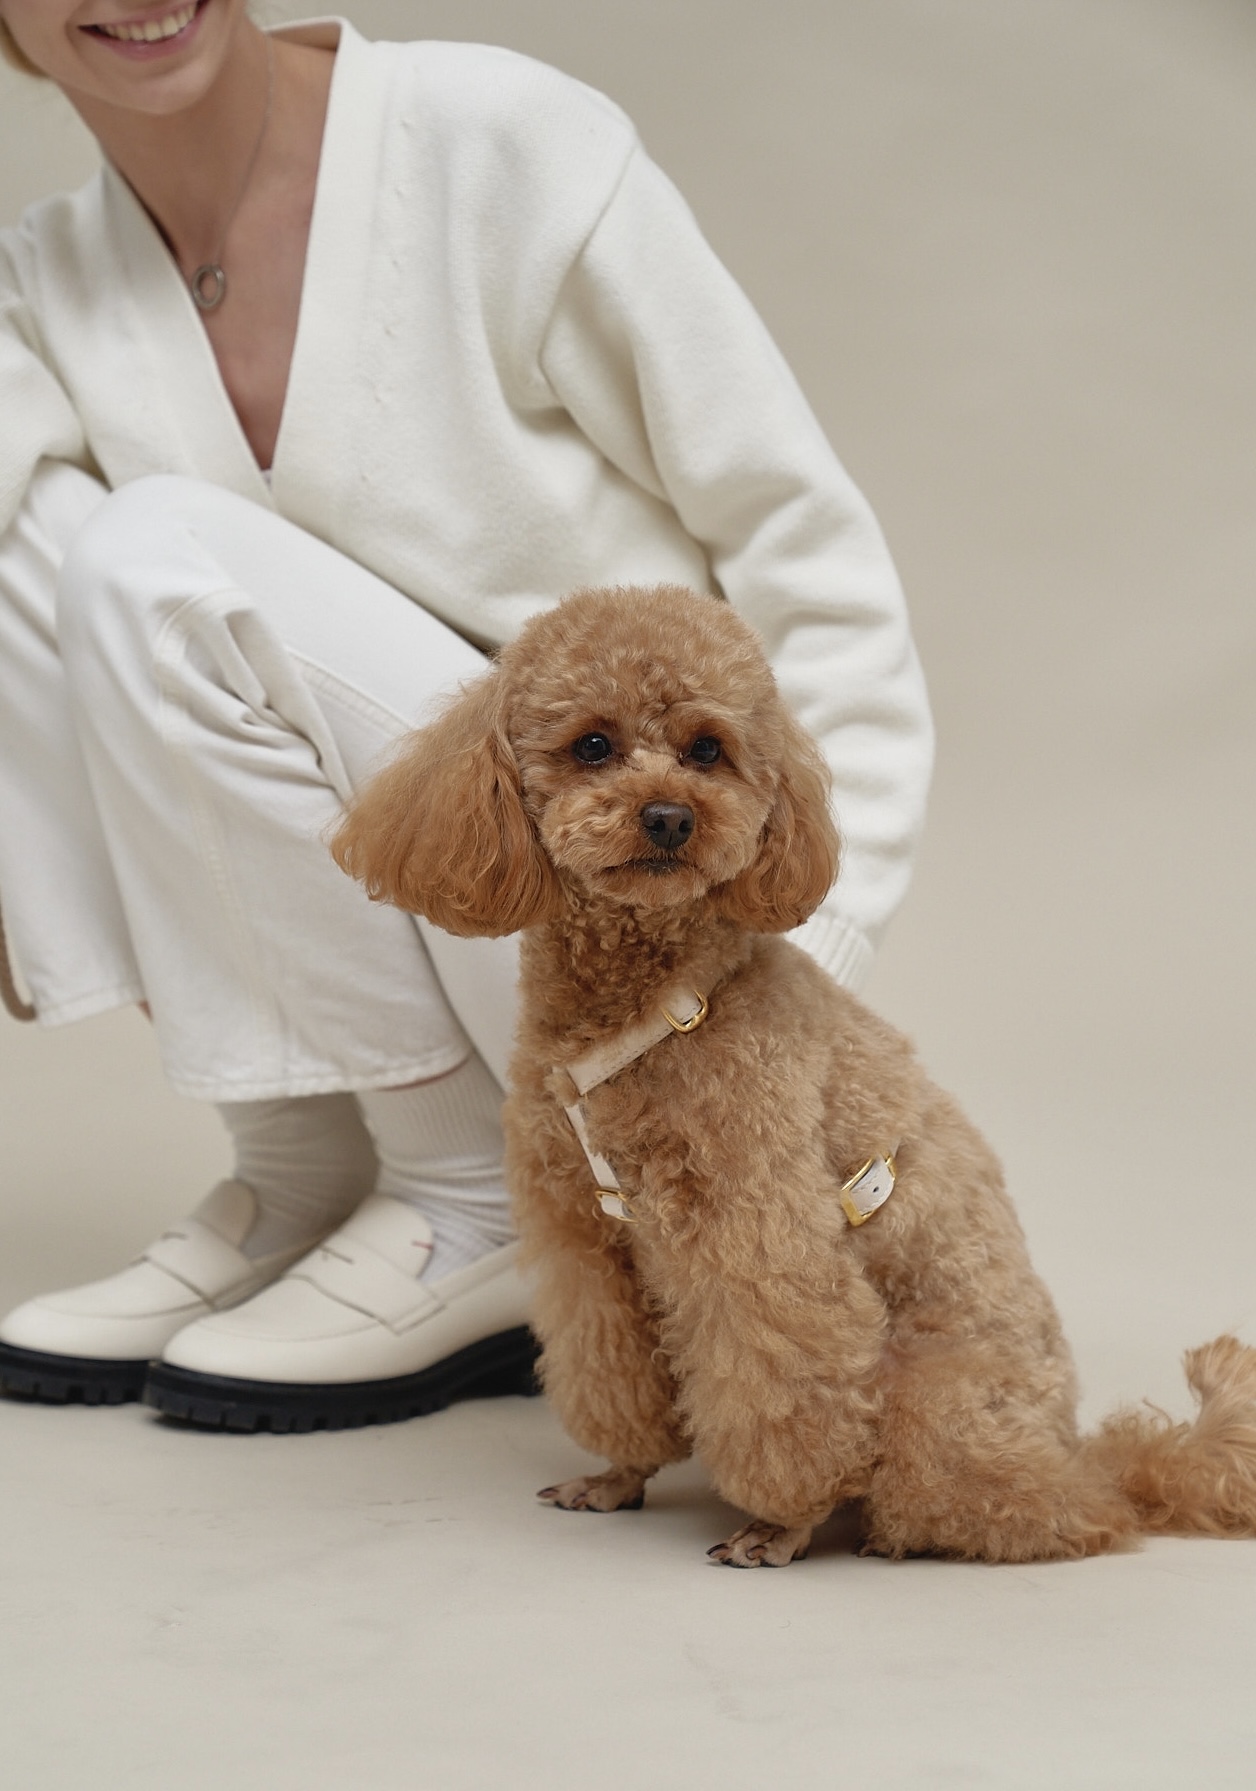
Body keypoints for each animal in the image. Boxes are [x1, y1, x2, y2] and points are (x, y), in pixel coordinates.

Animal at [333, 585, 1256, 1566]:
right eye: (593, 744)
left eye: (708, 749)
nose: (670, 817)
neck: (653, 1003)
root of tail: (1080, 1453)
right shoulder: (587, 1241)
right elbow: (612, 1371)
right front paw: (619, 1475)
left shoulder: (756, 1232)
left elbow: (786, 1384)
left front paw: (782, 1521)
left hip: (934, 1401)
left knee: (1034, 1507)